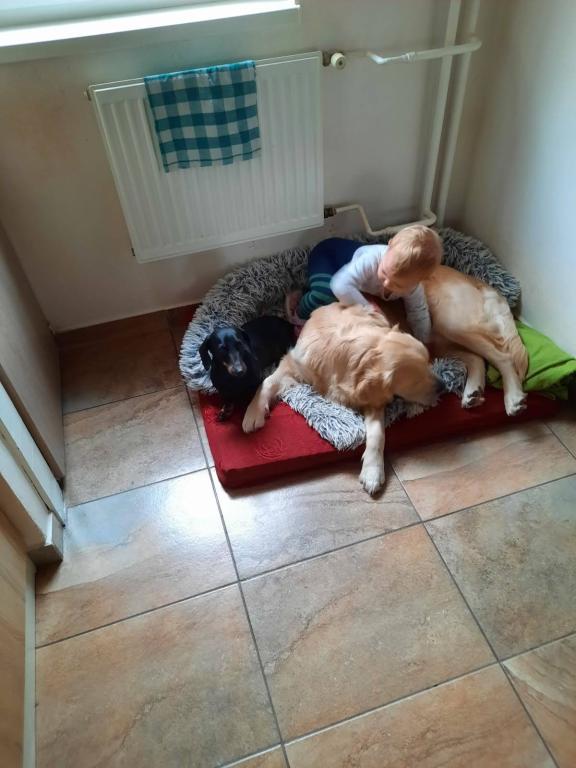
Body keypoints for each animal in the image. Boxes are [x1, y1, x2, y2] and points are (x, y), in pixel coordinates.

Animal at [242, 303, 443, 494]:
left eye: (429, 362)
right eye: (417, 381)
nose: (443, 386)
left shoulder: (373, 399)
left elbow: (378, 434)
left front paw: (373, 471)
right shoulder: (293, 363)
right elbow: (267, 381)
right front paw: (253, 413)